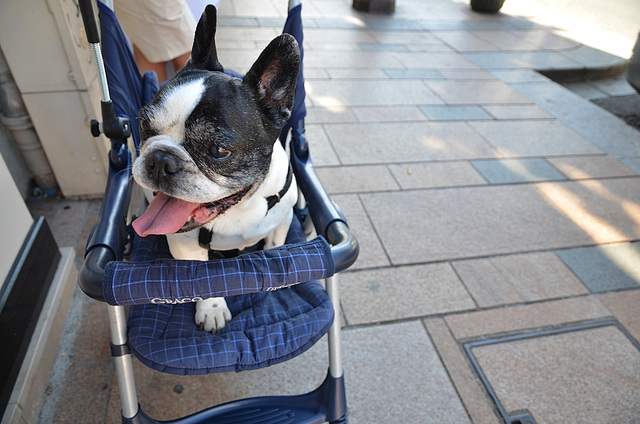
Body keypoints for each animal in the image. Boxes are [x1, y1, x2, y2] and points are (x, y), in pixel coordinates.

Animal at [132, 4, 300, 332]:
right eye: (144, 123)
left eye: (219, 151)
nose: (161, 159)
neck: (241, 208)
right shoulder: (185, 245)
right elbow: (204, 282)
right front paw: (212, 309)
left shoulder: (283, 222)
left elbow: (275, 249)